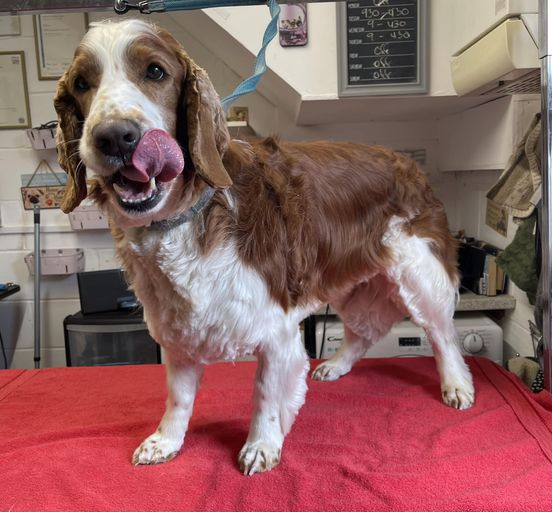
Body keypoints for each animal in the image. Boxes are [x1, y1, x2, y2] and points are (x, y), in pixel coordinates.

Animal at [53, 19, 474, 476]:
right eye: (81, 83)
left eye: (155, 72)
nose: (116, 137)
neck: (184, 217)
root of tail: (410, 161)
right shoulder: (178, 329)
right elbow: (179, 398)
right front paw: (165, 441)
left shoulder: (276, 330)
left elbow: (266, 395)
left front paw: (260, 445)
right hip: (348, 281)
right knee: (363, 332)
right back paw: (336, 365)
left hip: (420, 272)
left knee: (442, 334)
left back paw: (456, 384)